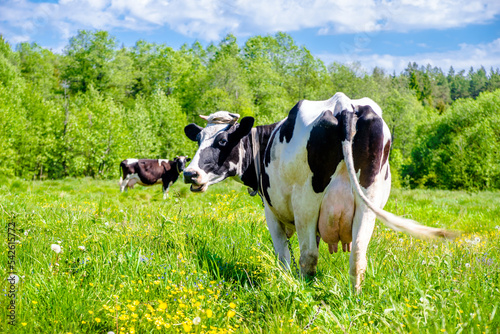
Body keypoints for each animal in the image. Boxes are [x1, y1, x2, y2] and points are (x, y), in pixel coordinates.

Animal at [182, 92, 456, 292]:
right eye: (198, 140)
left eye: (222, 142)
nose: (189, 173)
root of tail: (344, 105)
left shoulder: (272, 213)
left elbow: (284, 257)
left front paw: (284, 281)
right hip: (368, 201)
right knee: (358, 255)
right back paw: (354, 297)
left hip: (306, 202)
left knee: (309, 256)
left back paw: (304, 290)